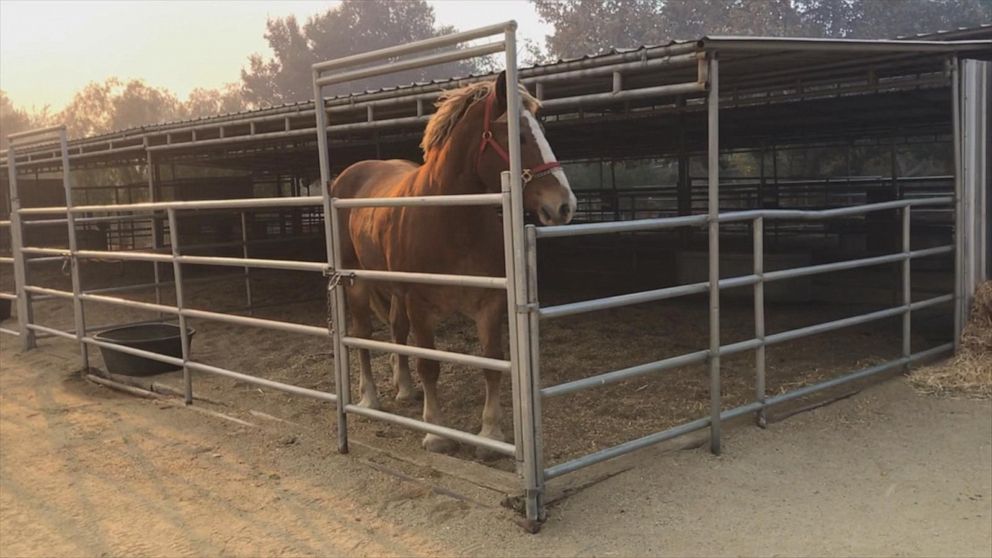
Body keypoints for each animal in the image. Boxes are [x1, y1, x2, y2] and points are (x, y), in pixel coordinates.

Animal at [332, 70, 572, 458]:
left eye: (542, 129)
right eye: (517, 135)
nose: (564, 205)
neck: (450, 220)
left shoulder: (489, 303)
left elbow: (492, 363)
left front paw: (491, 434)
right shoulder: (419, 303)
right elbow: (429, 364)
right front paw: (436, 433)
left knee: (396, 331)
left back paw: (404, 388)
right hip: (357, 283)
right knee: (364, 335)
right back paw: (369, 398)